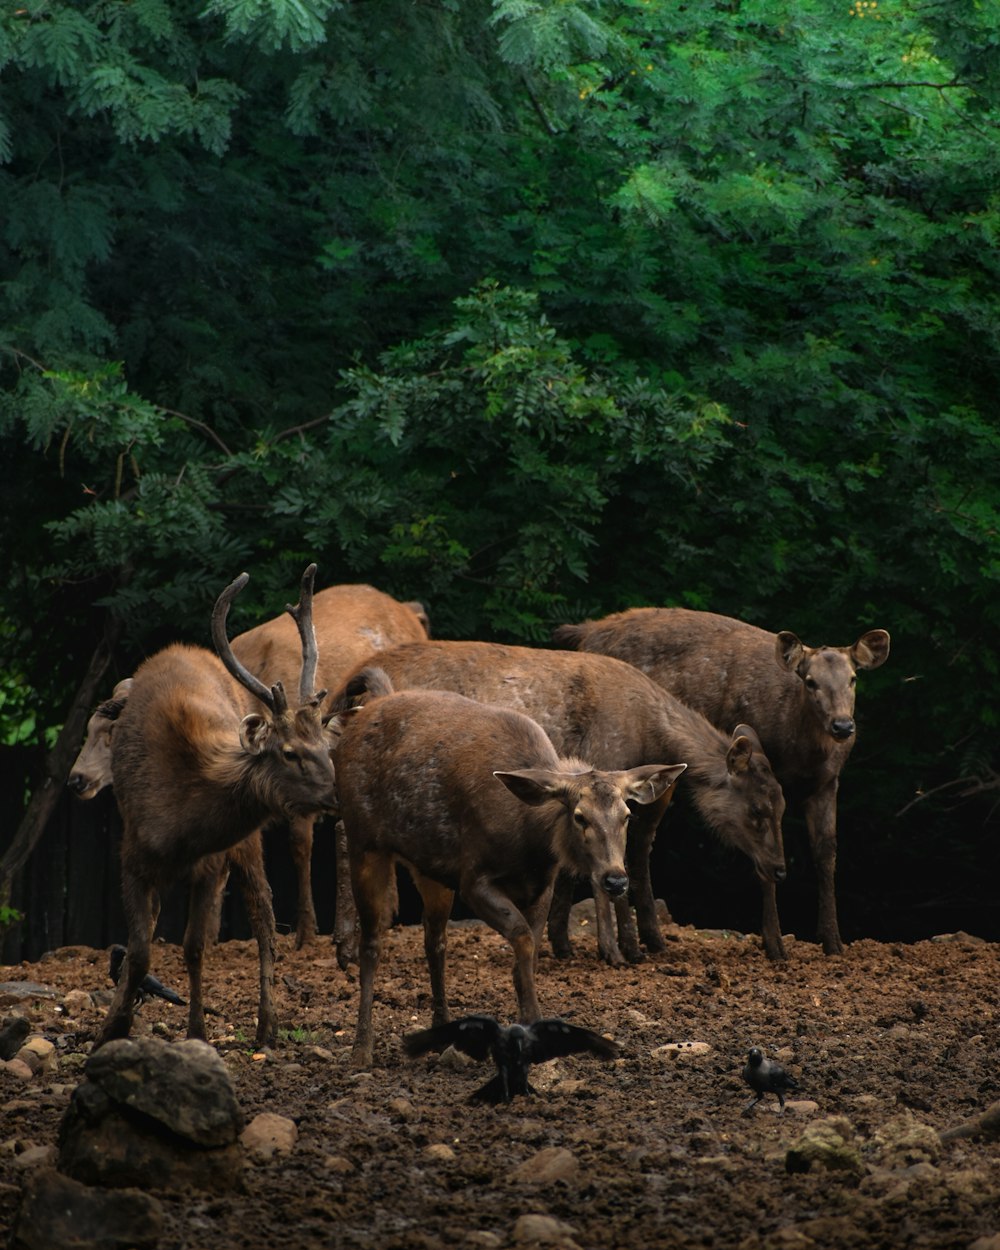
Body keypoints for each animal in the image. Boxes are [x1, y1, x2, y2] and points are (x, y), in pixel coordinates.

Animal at [97, 565, 340, 1045]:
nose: (334, 795)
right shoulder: (131, 856)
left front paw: (197, 1033)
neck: (179, 826)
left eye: (325, 746)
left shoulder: (212, 862)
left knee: (264, 915)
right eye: (290, 752)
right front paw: (113, 1027)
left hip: (245, 845)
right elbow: (140, 950)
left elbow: (193, 948)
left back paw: (268, 1024)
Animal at [332, 640, 785, 960]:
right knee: (343, 833)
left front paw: (576, 943)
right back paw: (348, 946)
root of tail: (354, 684)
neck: (649, 733)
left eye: (783, 806)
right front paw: (616, 950)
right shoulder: (604, 765)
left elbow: (597, 864)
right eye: (757, 810)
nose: (779, 868)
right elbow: (605, 870)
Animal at [332, 670, 685, 1070]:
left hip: (431, 866)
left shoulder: (542, 884)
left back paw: (441, 1034)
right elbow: (522, 938)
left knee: (434, 941)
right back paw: (362, 1048)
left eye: (626, 815)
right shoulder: (473, 879)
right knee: (372, 942)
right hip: (364, 838)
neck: (529, 839)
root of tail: (368, 706)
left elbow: (527, 951)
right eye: (579, 816)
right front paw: (532, 1023)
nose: (614, 878)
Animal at [555, 610, 890, 960]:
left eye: (853, 678)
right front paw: (774, 944)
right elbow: (764, 859)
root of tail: (587, 631)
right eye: (810, 681)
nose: (843, 726)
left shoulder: (827, 782)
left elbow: (826, 853)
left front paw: (833, 942)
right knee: (636, 838)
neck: (804, 751)